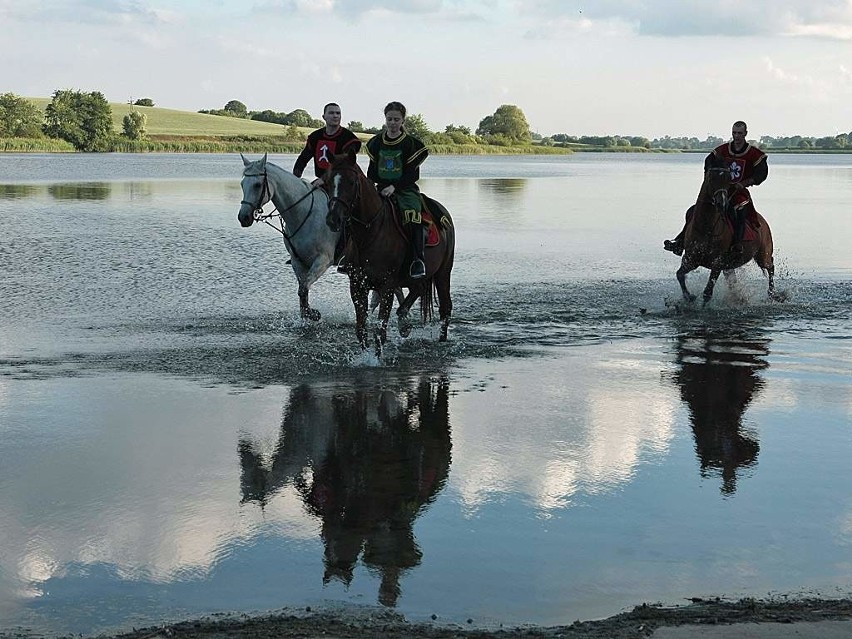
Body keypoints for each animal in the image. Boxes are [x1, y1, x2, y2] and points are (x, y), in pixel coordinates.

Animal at [238, 153, 338, 322]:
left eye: (257, 185)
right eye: (242, 184)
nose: (243, 217)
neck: (304, 214)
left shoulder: (323, 261)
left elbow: (303, 289)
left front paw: (313, 314)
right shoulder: (298, 262)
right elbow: (302, 291)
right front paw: (307, 314)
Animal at [322, 156, 452, 356]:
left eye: (351, 182)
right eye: (329, 182)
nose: (333, 219)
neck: (369, 234)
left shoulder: (386, 286)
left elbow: (380, 331)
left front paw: (376, 358)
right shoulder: (357, 285)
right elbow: (361, 329)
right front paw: (365, 356)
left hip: (443, 273)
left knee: (445, 308)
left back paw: (440, 339)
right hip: (412, 277)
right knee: (419, 289)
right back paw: (403, 319)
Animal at [680, 154, 780, 306]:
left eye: (727, 179)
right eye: (711, 178)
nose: (721, 203)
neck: (706, 227)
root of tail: (762, 222)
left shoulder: (717, 263)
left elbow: (707, 293)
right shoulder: (691, 259)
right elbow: (680, 275)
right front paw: (689, 297)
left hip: (763, 255)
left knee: (770, 268)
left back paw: (772, 294)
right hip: (729, 266)